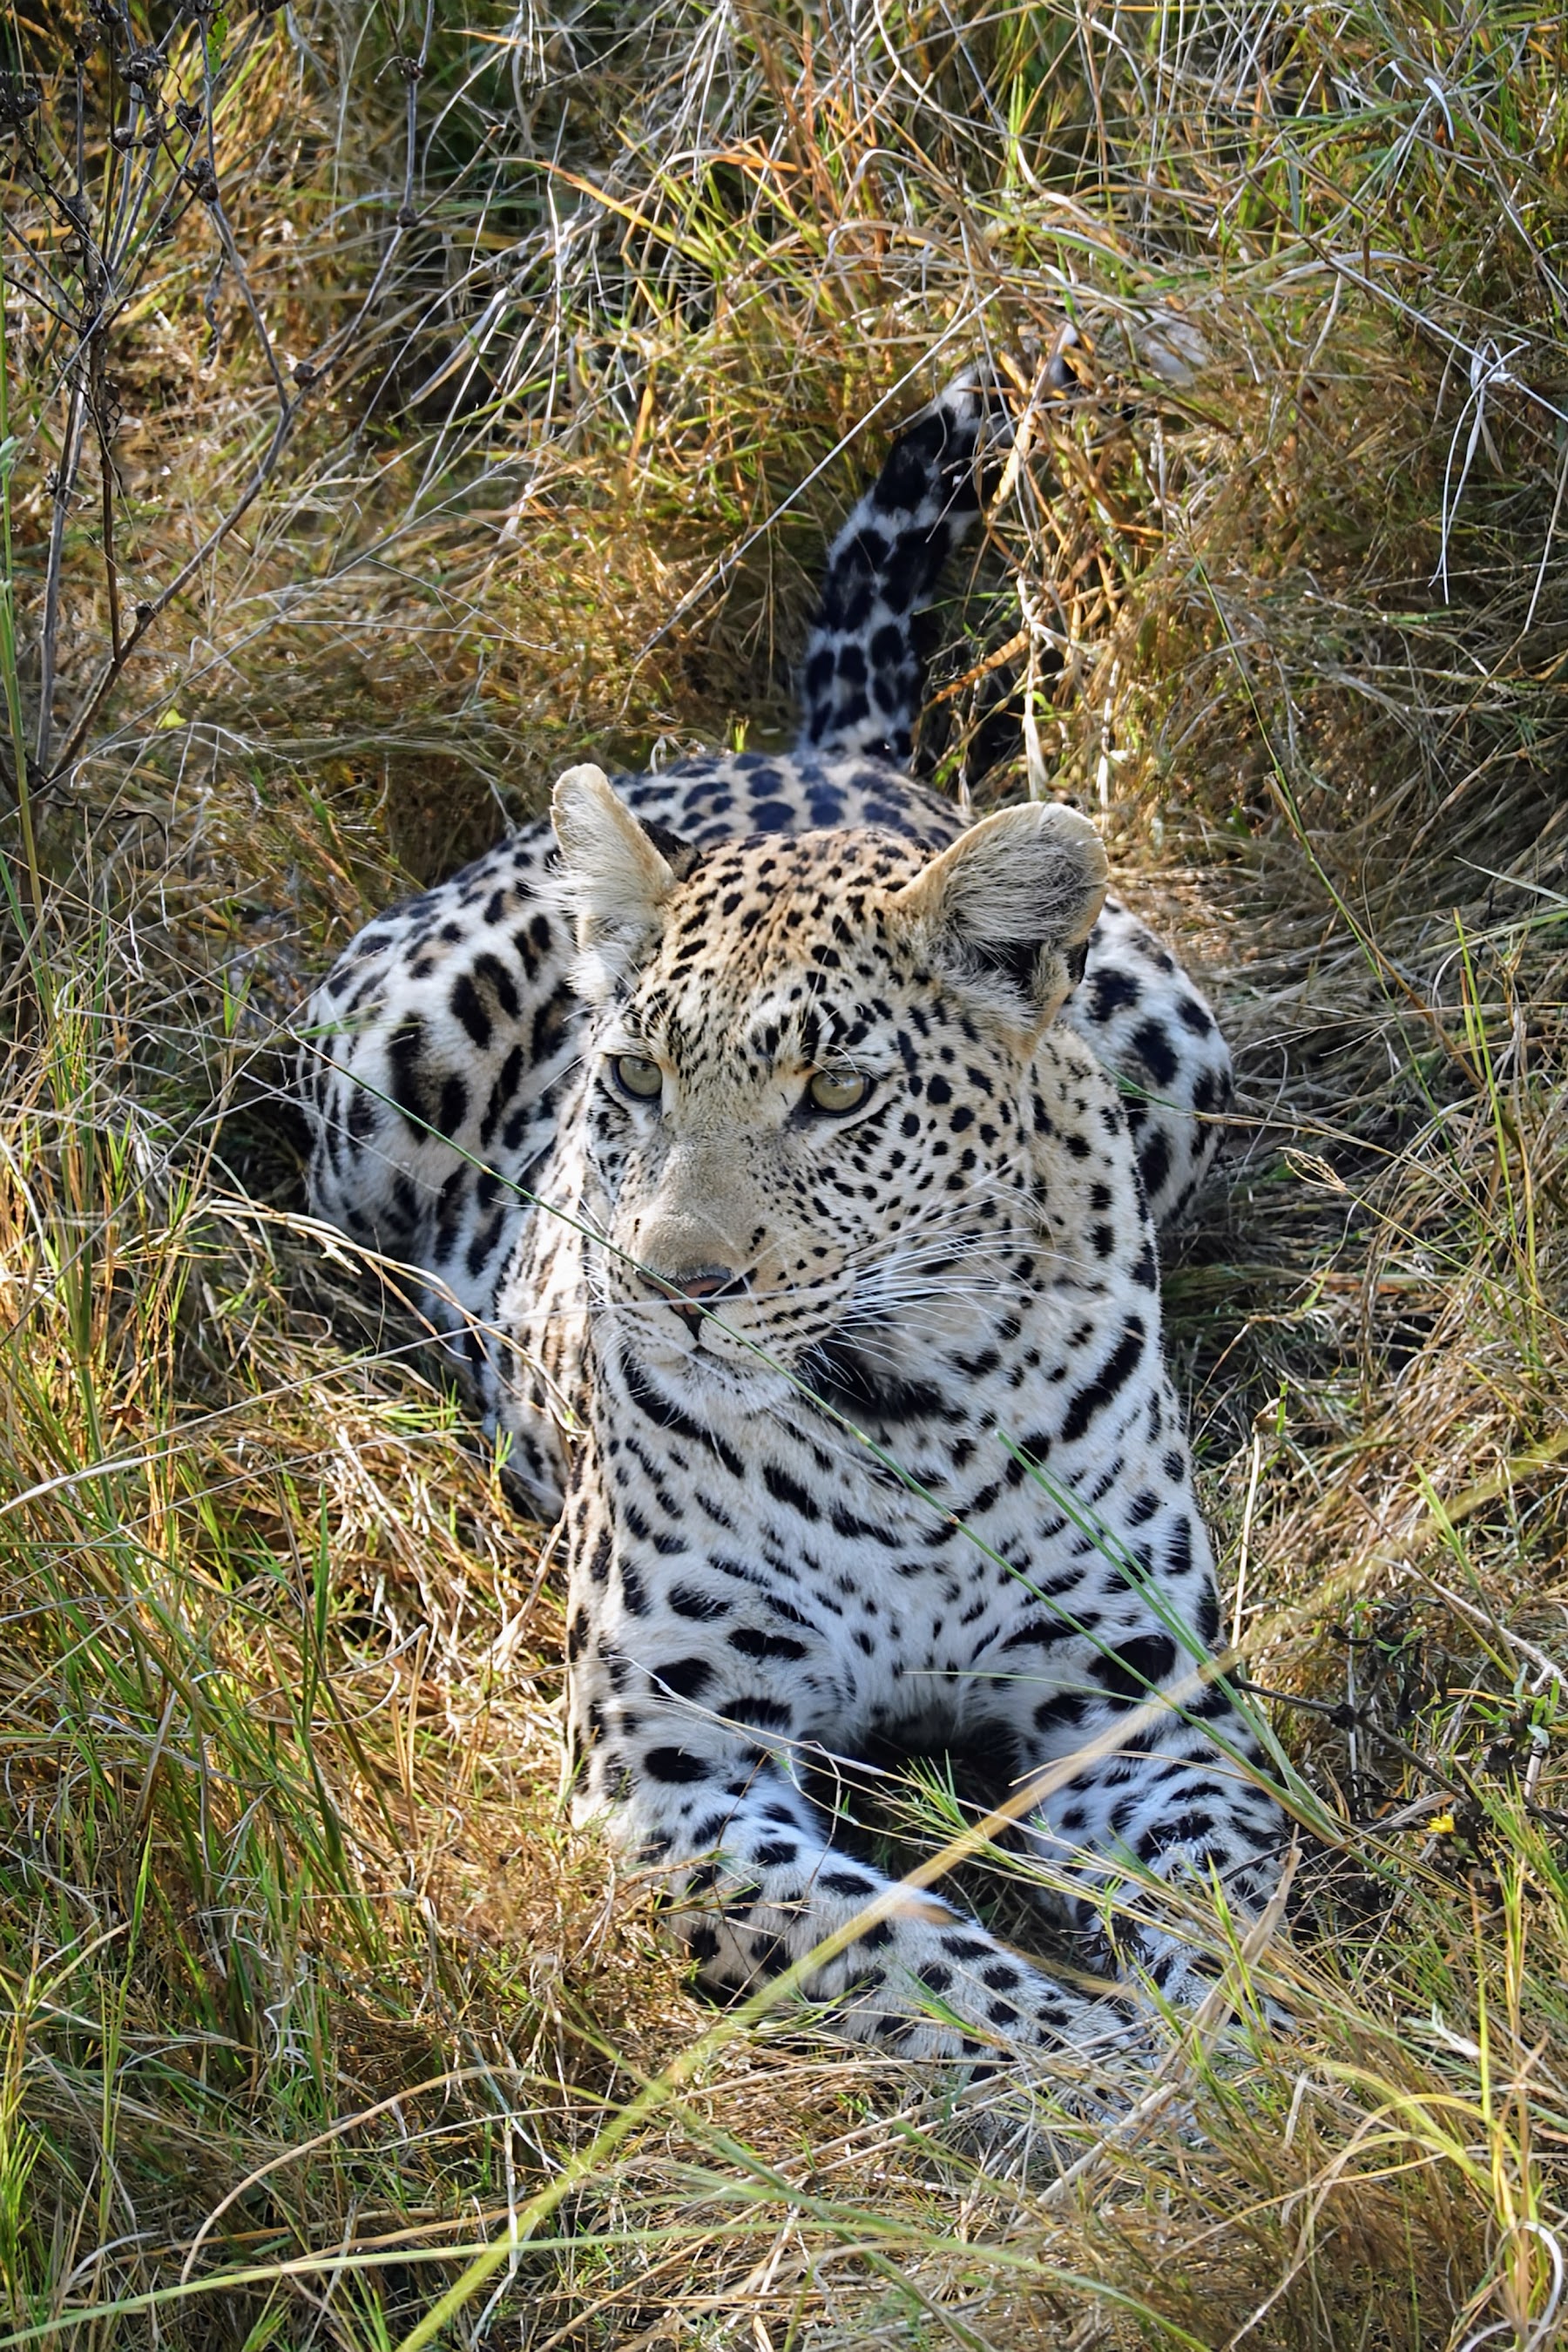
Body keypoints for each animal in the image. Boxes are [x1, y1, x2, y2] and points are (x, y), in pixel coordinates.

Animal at [299, 374, 1283, 2074]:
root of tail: (812, 756)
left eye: (834, 1090)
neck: (909, 1414)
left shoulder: (1142, 1705)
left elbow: (1232, 1902)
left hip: (1179, 1036)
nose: (674, 1286)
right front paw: (1106, 2090)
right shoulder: (675, 1771)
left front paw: (1253, 2074)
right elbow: (910, 1956)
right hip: (378, 1064)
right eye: (634, 1074)